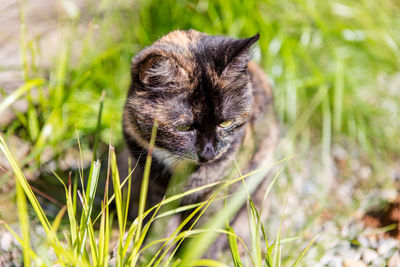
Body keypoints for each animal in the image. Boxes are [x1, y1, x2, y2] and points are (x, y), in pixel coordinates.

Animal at [122, 29, 278, 249]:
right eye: (184, 128)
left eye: (226, 123)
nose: (208, 152)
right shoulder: (157, 188)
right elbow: (162, 227)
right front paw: (155, 253)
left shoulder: (223, 192)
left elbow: (206, 233)